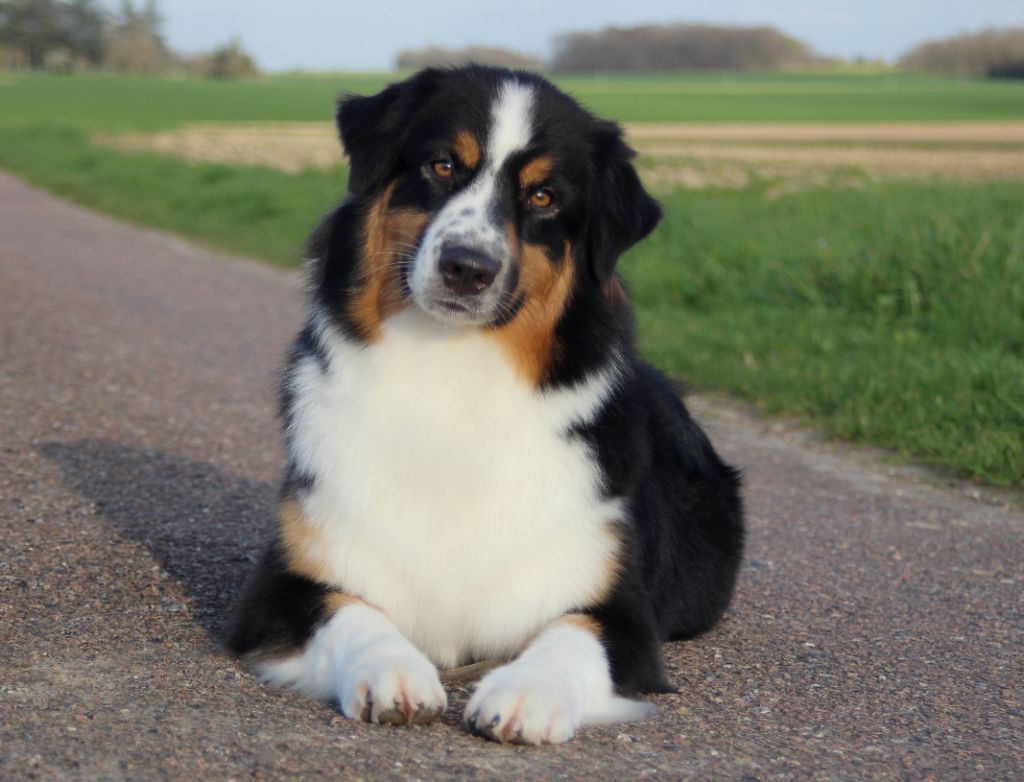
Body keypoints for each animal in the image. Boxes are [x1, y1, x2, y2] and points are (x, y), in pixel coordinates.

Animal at [228, 65, 745, 745]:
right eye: (443, 165)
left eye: (544, 198)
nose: (466, 268)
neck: (454, 368)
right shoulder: (282, 586)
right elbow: (353, 613)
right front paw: (393, 672)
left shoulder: (621, 611)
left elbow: (569, 634)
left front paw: (526, 693)